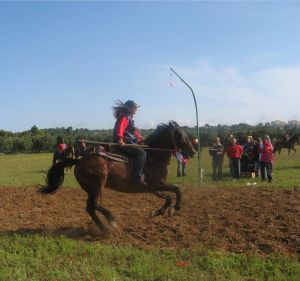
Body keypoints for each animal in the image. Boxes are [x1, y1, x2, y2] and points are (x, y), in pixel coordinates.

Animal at [41, 121, 197, 233]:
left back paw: (105, 229)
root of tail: (79, 160)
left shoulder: (156, 187)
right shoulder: (155, 185)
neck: (154, 156)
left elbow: (173, 193)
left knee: (90, 208)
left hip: (91, 189)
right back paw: (111, 220)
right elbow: (173, 193)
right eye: (179, 136)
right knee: (94, 205)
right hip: (98, 183)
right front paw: (172, 208)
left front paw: (163, 211)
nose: (193, 152)